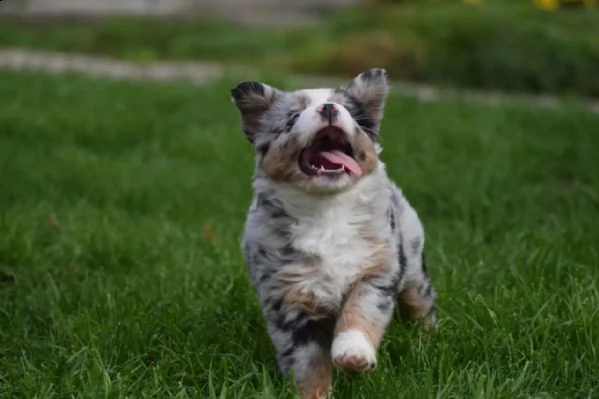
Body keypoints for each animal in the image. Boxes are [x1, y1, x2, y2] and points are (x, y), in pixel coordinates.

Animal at [232, 69, 438, 399]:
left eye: (350, 112)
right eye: (293, 117)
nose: (329, 108)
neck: (326, 210)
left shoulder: (377, 271)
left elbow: (359, 311)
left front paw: (353, 355)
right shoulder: (289, 299)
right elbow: (307, 361)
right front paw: (314, 393)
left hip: (413, 266)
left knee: (422, 304)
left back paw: (426, 343)